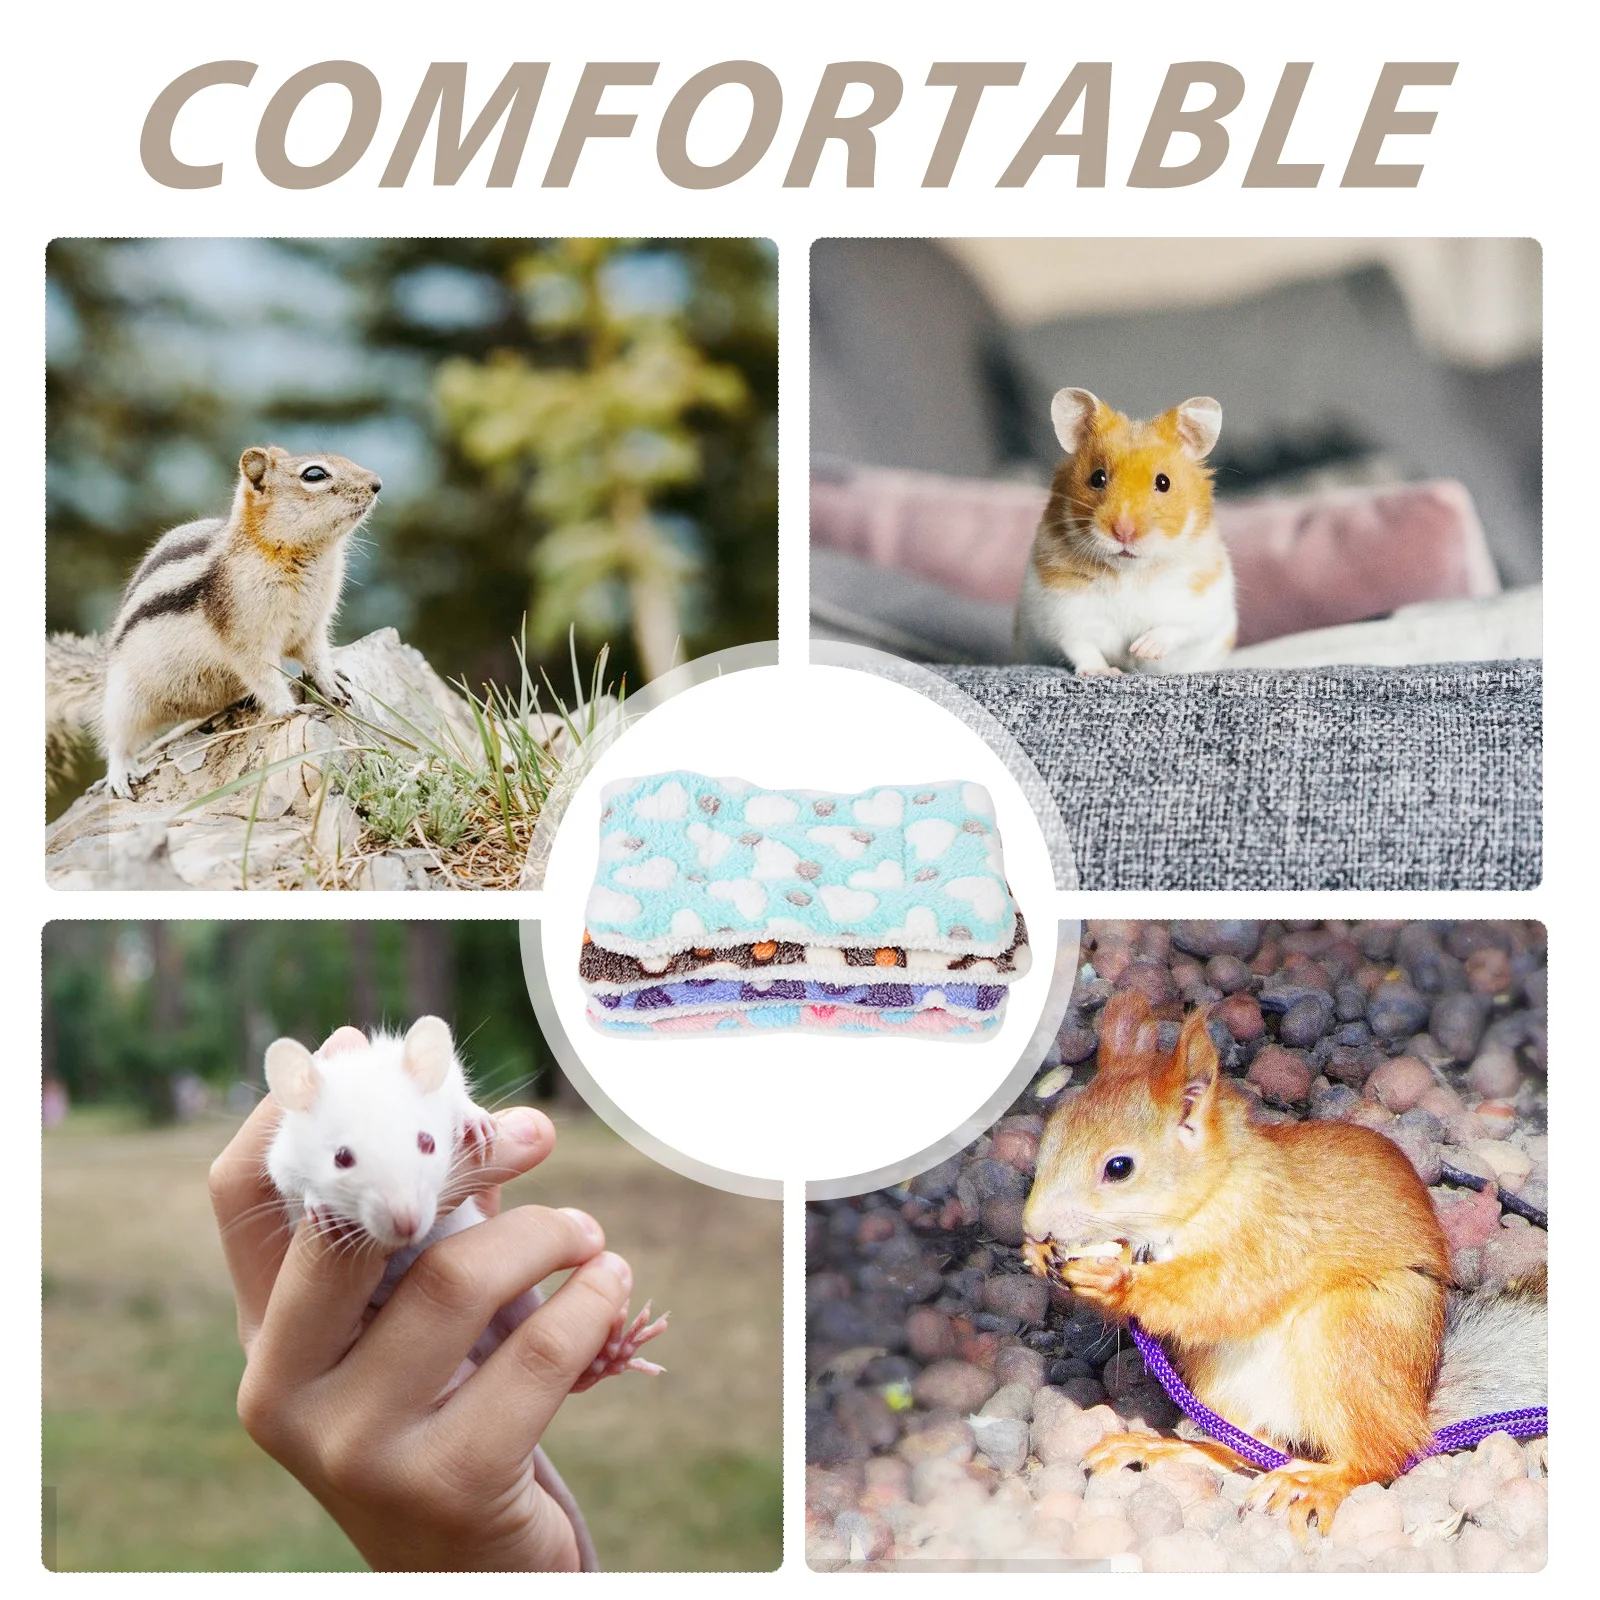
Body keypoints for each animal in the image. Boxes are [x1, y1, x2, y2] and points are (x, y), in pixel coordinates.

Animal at [263, 1015, 668, 1570]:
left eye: (427, 1143)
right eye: (342, 1158)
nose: (408, 1225)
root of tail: (480, 1349)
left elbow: (459, 1100)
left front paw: (477, 1122)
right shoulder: (280, 1155)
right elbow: (285, 1179)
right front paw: (317, 1206)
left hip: (518, 1303)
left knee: (578, 1374)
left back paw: (612, 1354)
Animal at [1013, 389, 1237, 675]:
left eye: (1164, 482)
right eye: (1097, 478)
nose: (1123, 532)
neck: (1130, 572)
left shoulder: (1203, 605)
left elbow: (1176, 629)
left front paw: (1142, 649)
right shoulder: (1063, 612)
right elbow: (1080, 645)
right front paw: (1103, 672)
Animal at [1020, 992, 1544, 1536]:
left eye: (1119, 1168)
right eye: (1049, 1138)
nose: (1034, 1226)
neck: (1211, 1192)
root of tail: (1415, 1410)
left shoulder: (1272, 1237)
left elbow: (1221, 1293)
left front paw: (1116, 1280)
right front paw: (1038, 1257)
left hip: (1349, 1333)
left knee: (1382, 1456)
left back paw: (1319, 1481)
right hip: (1222, 1383)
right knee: (1245, 1447)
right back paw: (1161, 1448)